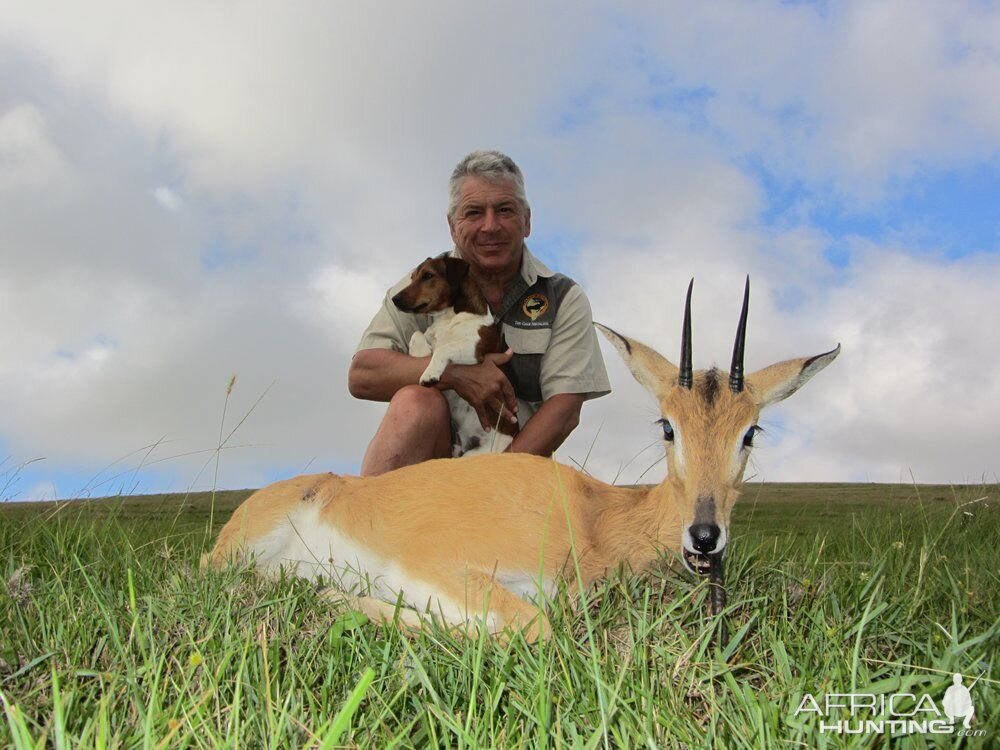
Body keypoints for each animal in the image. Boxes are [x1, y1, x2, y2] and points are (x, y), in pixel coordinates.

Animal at [207, 280, 840, 644]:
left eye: (750, 432)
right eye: (667, 426)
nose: (705, 537)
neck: (595, 518)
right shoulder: (435, 563)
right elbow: (535, 625)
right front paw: (336, 597)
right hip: (240, 555)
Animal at [390, 256, 516, 458]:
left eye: (428, 275)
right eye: (412, 277)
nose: (395, 299)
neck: (448, 318)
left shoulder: (474, 348)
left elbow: (444, 349)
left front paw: (430, 373)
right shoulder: (429, 335)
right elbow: (416, 335)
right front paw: (422, 353)